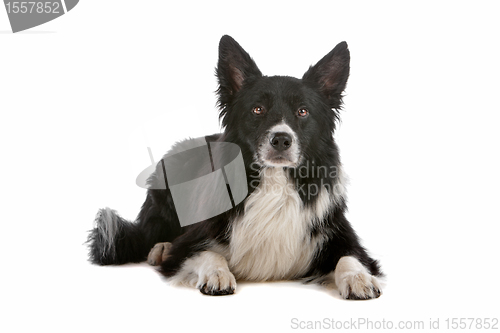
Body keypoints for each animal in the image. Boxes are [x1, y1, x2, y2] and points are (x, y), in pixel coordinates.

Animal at [88, 35, 382, 300]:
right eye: (257, 109)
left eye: (303, 111)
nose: (281, 139)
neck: (274, 182)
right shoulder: (190, 244)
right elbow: (208, 253)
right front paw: (217, 274)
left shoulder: (341, 236)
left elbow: (349, 257)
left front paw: (358, 279)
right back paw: (160, 248)